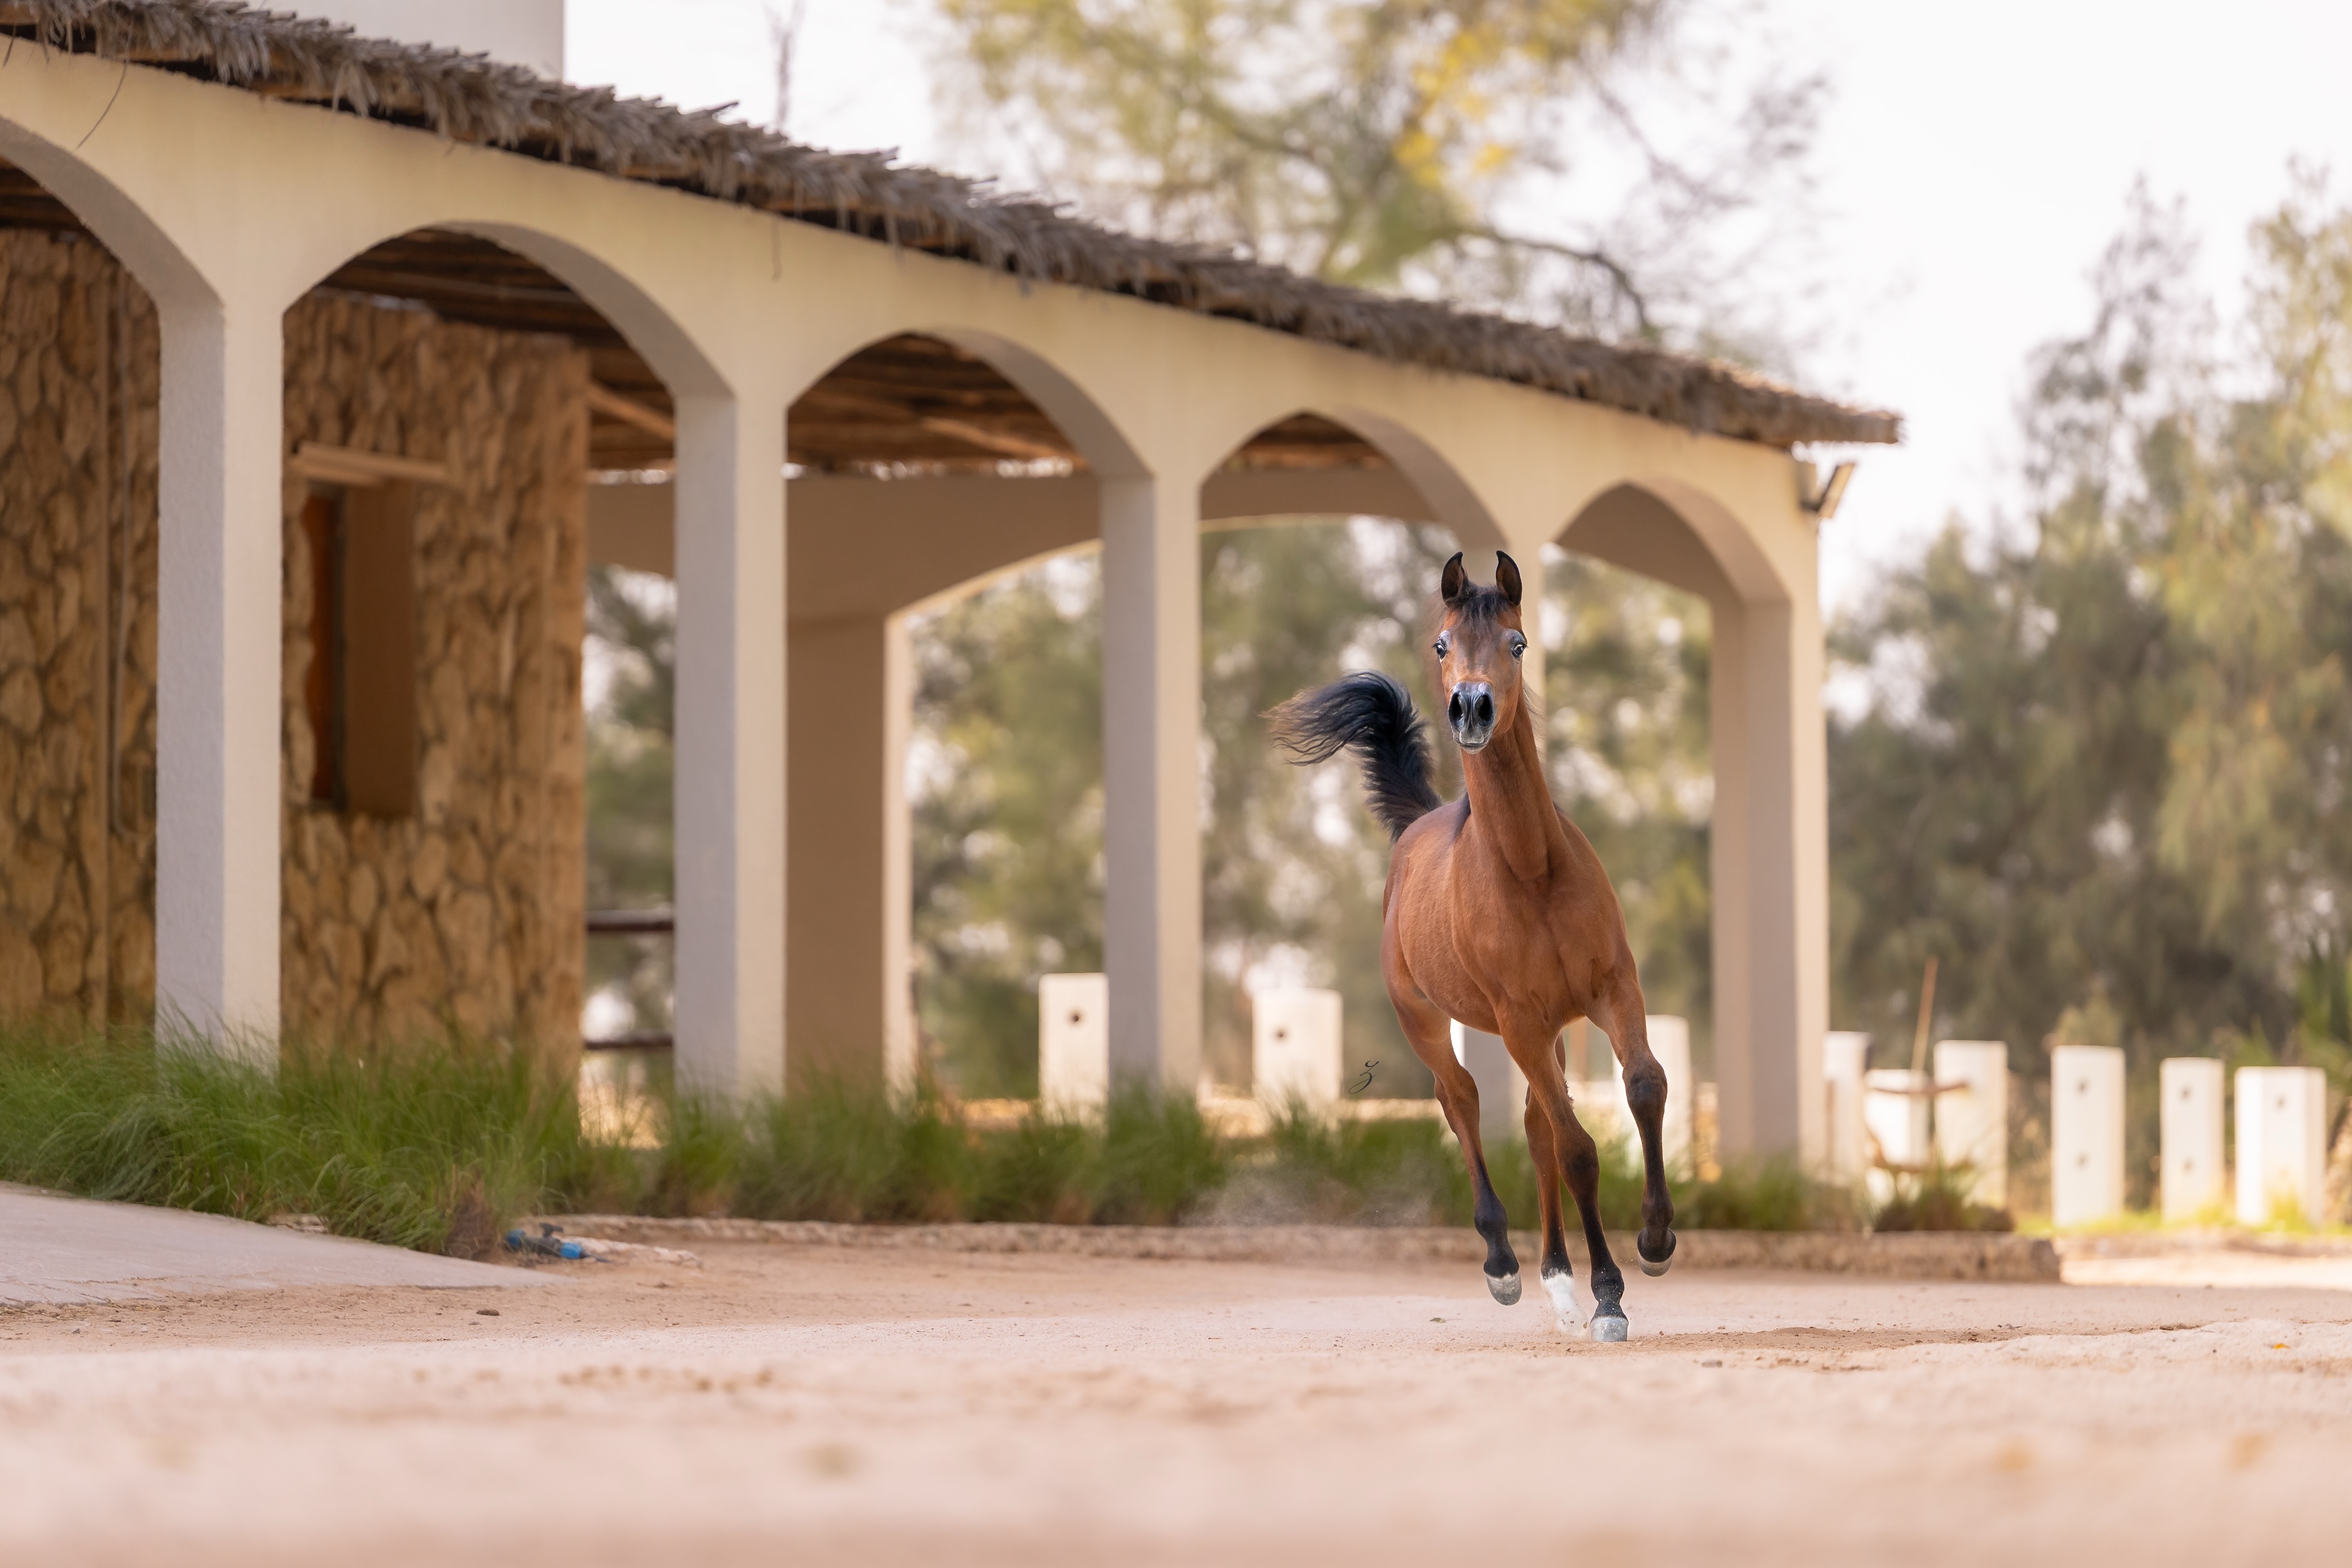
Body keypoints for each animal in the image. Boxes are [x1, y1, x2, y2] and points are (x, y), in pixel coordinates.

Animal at [1270, 549, 1676, 1341]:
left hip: (1550, 1030)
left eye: (1516, 643)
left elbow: (1644, 1085)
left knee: (1534, 1121)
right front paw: (1609, 1295)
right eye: (1440, 644)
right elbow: (1578, 1148)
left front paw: (1655, 1241)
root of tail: (1415, 827)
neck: (1531, 870)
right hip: (1430, 1020)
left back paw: (1556, 1281)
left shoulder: (1611, 988)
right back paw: (1506, 1266)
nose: (1471, 708)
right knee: (1460, 1099)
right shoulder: (1517, 1019)